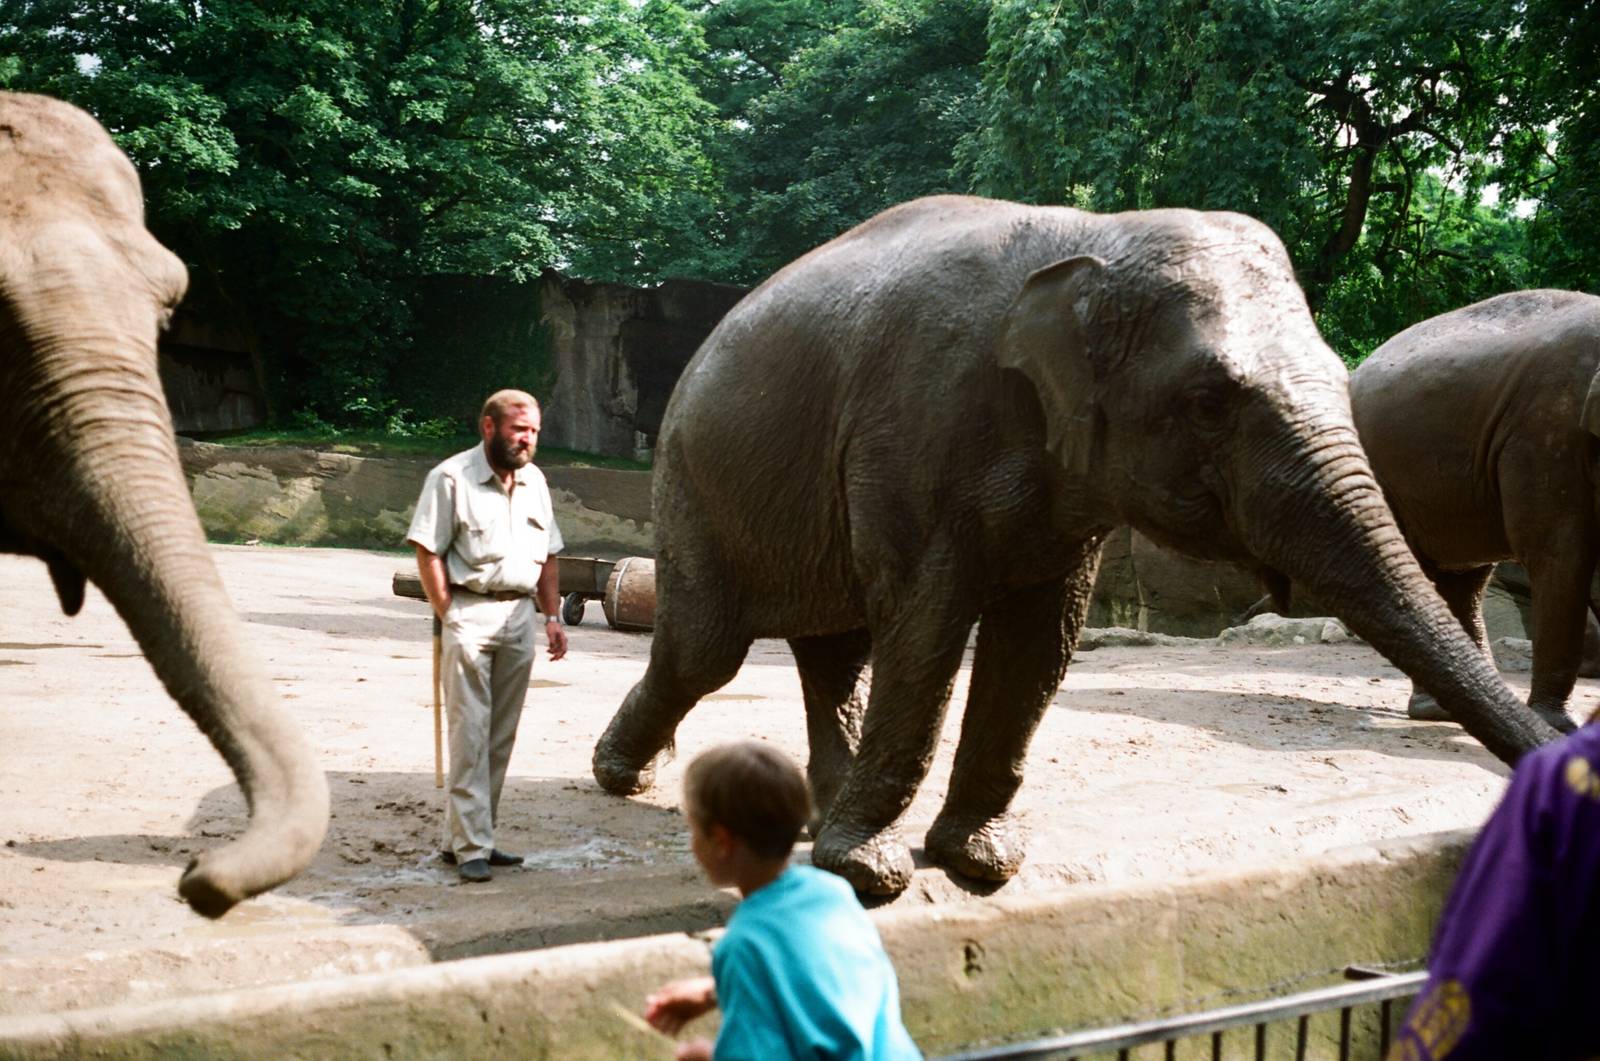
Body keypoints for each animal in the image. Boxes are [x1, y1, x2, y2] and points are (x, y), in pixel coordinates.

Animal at [591, 194, 1557, 898]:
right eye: (1209, 401)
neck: (1094, 238)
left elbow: (1039, 637)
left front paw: (979, 860)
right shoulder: (919, 427)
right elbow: (930, 625)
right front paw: (872, 874)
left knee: (836, 651)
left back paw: (811, 812)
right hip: (694, 481)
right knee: (709, 647)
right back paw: (627, 776)